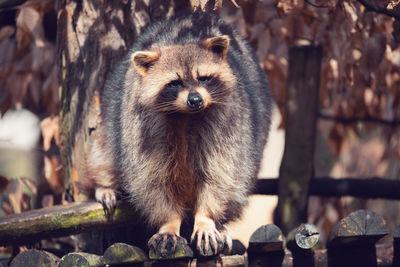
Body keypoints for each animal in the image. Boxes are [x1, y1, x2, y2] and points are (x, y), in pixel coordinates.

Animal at [84, 12, 272, 258]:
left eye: (203, 78)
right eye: (175, 83)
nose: (195, 100)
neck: (186, 116)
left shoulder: (230, 123)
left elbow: (221, 173)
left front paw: (206, 219)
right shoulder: (142, 128)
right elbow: (151, 180)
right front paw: (169, 223)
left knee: (239, 181)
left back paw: (221, 225)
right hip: (113, 117)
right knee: (105, 149)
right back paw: (104, 183)